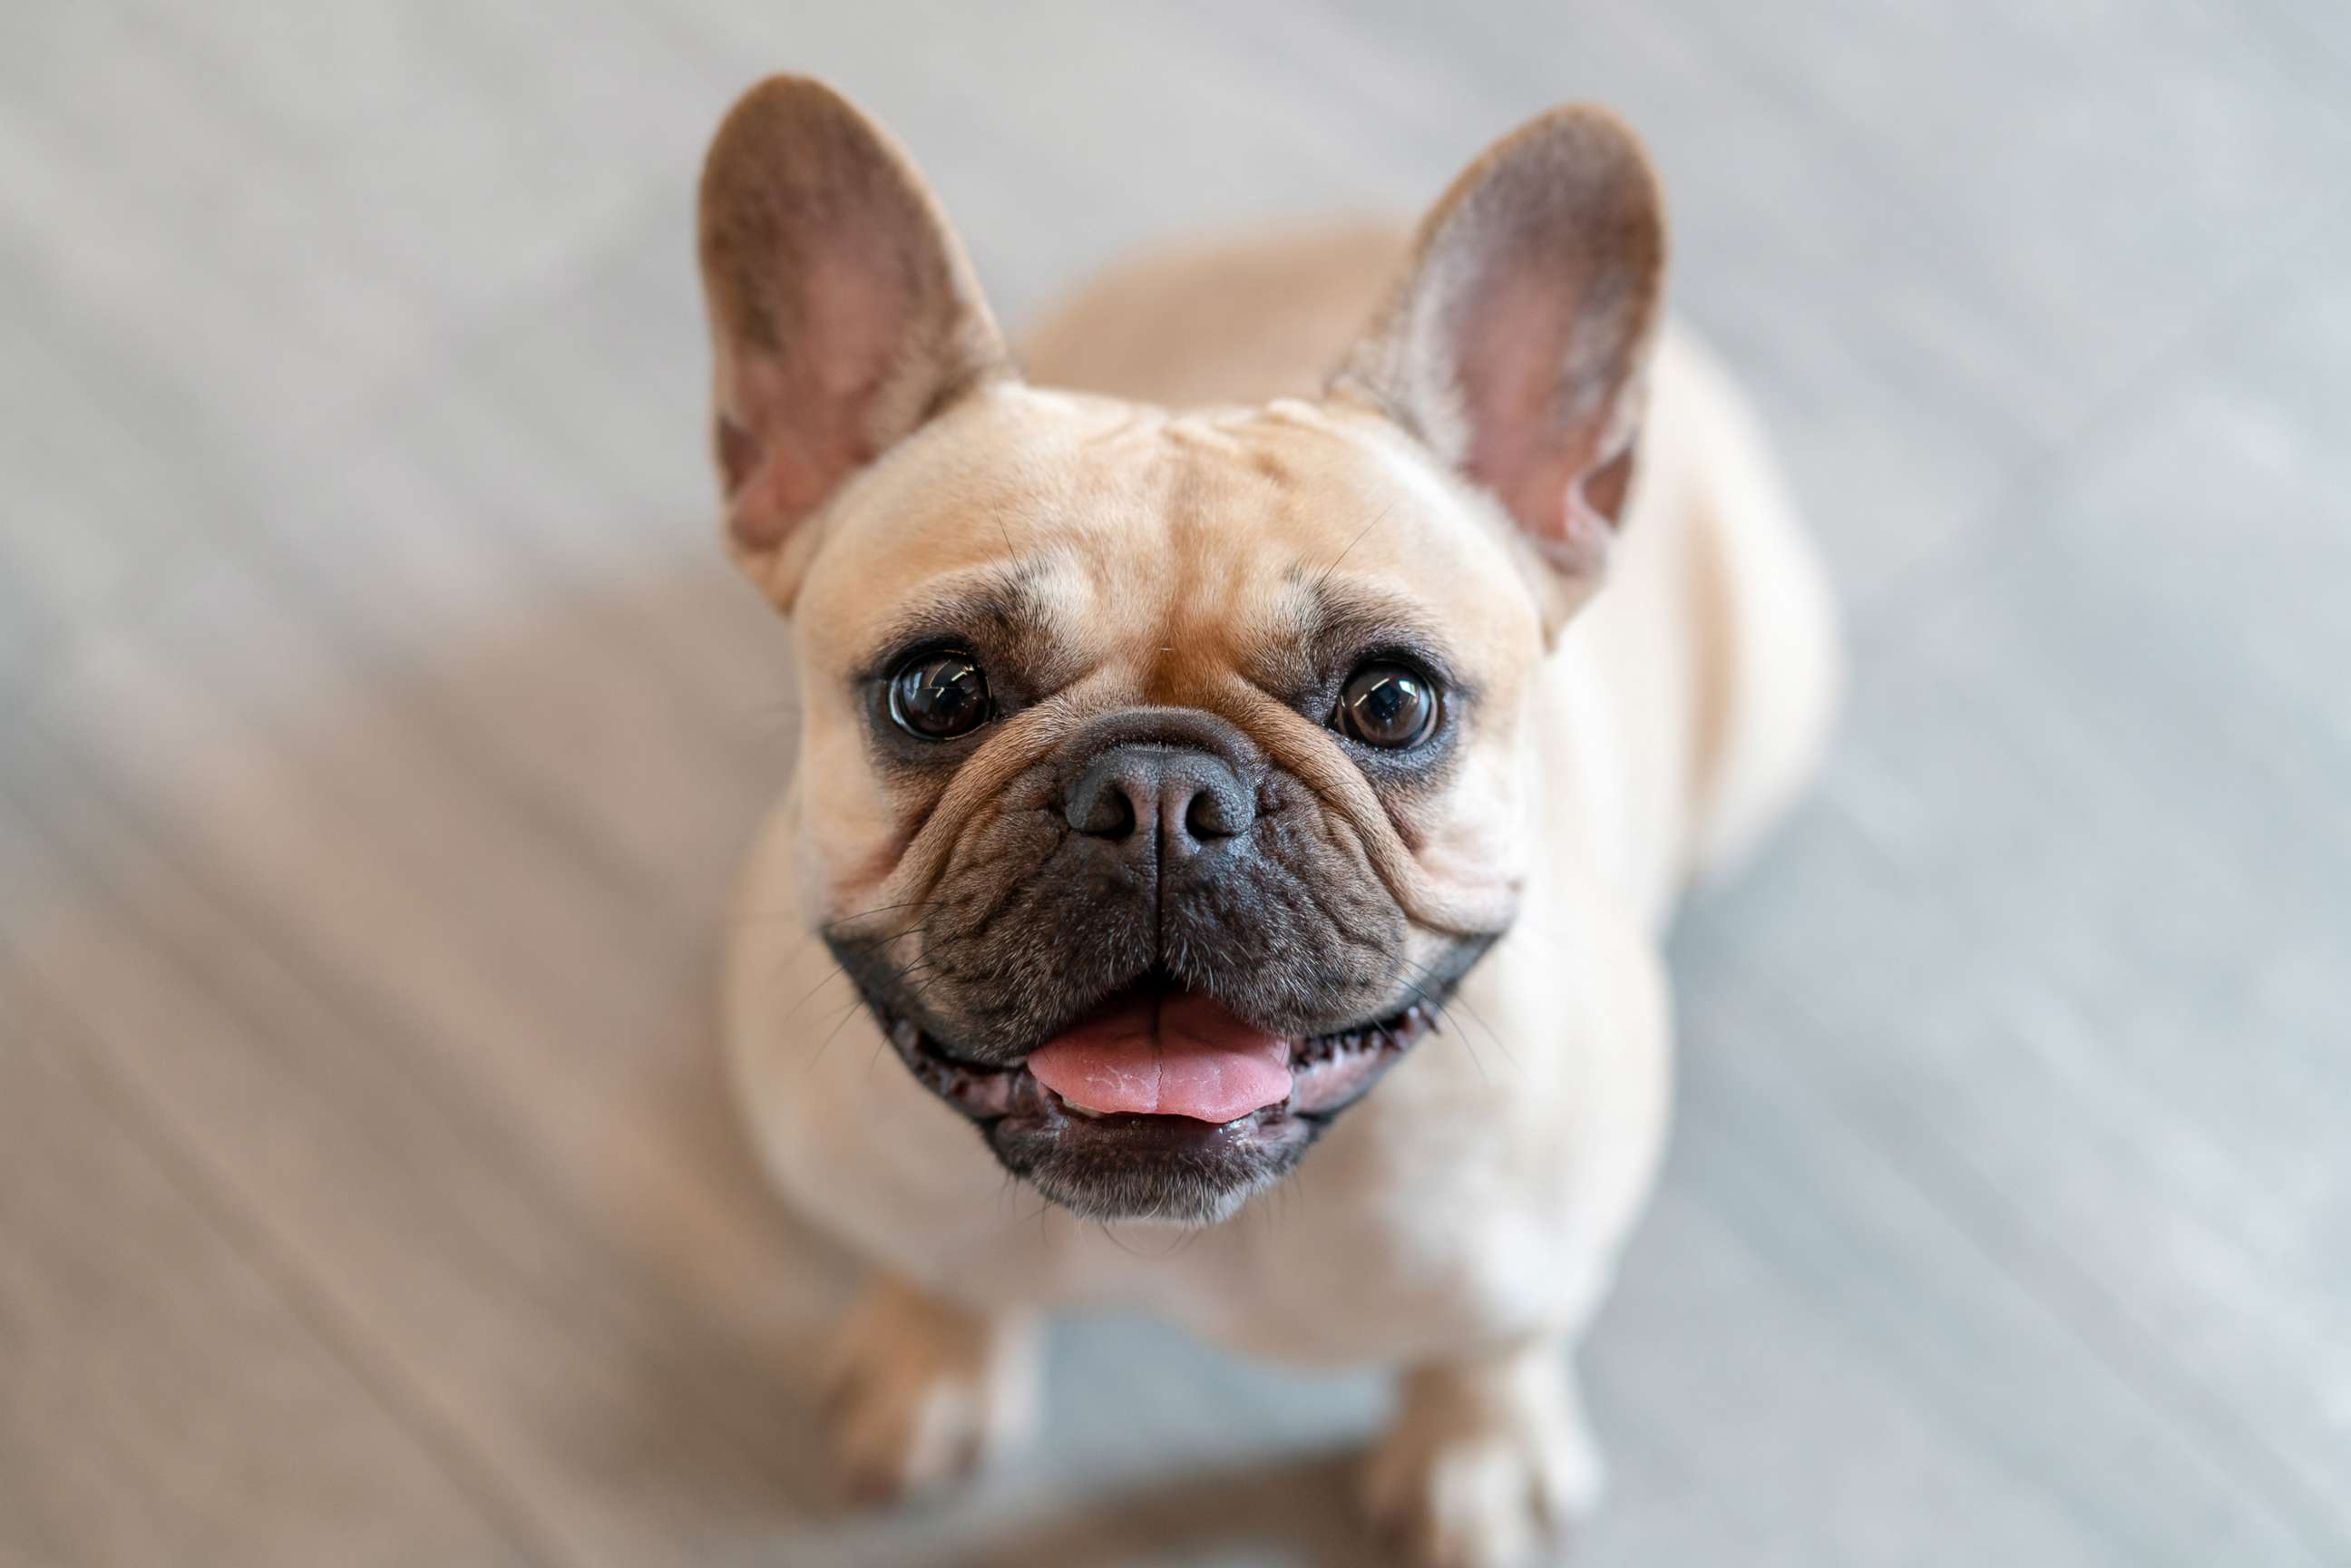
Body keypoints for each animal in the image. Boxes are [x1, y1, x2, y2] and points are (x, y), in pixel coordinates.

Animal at [696, 76, 1833, 1568]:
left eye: (1394, 701)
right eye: (935, 689)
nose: (1160, 795)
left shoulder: (1540, 1250)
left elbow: (1496, 1343)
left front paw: (1476, 1452)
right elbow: (936, 1265)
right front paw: (932, 1354)